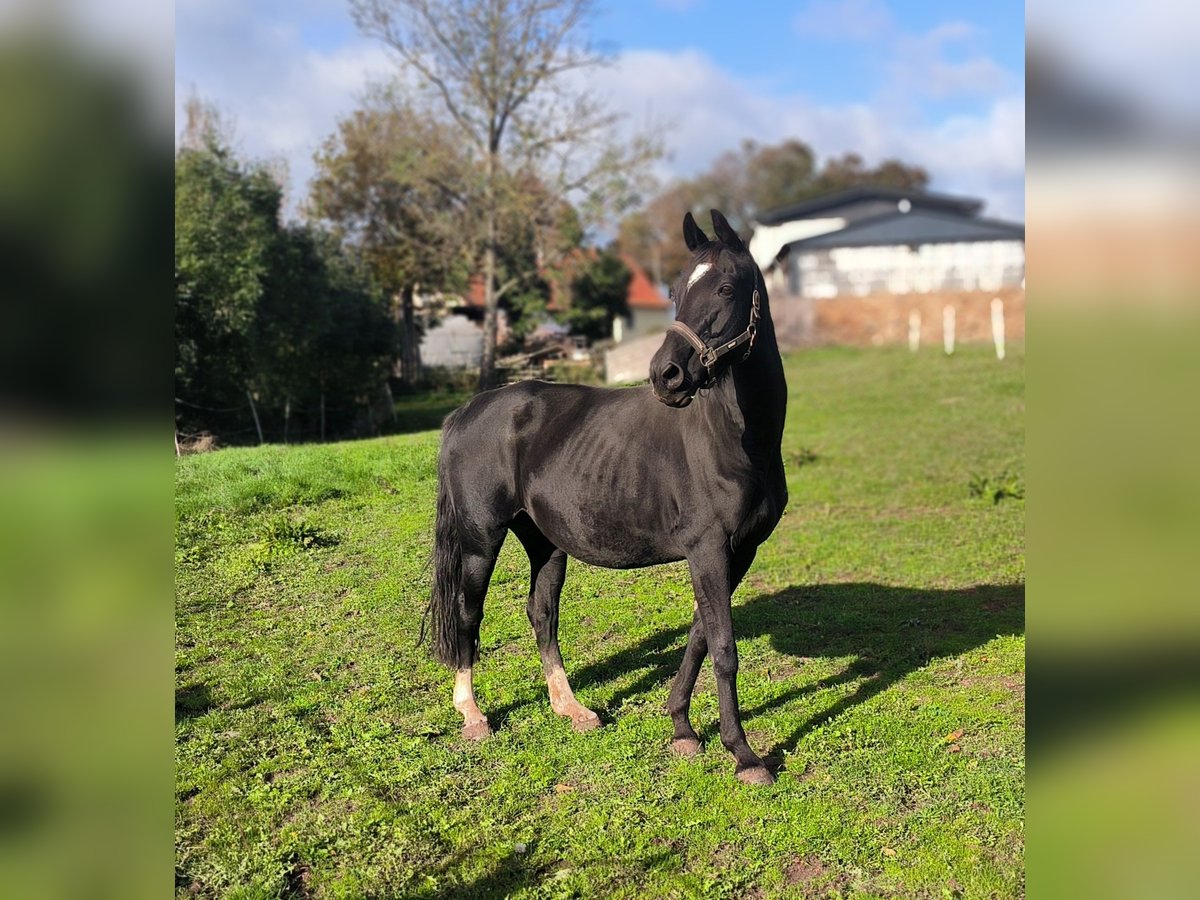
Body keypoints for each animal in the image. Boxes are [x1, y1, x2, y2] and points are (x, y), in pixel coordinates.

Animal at [427, 210, 792, 782]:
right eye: (674, 291)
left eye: (726, 288)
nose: (666, 375)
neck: (737, 439)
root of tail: (467, 410)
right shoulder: (709, 550)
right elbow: (724, 649)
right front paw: (744, 755)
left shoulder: (739, 552)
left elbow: (699, 636)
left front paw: (682, 729)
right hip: (480, 539)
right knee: (469, 613)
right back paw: (473, 716)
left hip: (545, 543)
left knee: (542, 614)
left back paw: (572, 709)